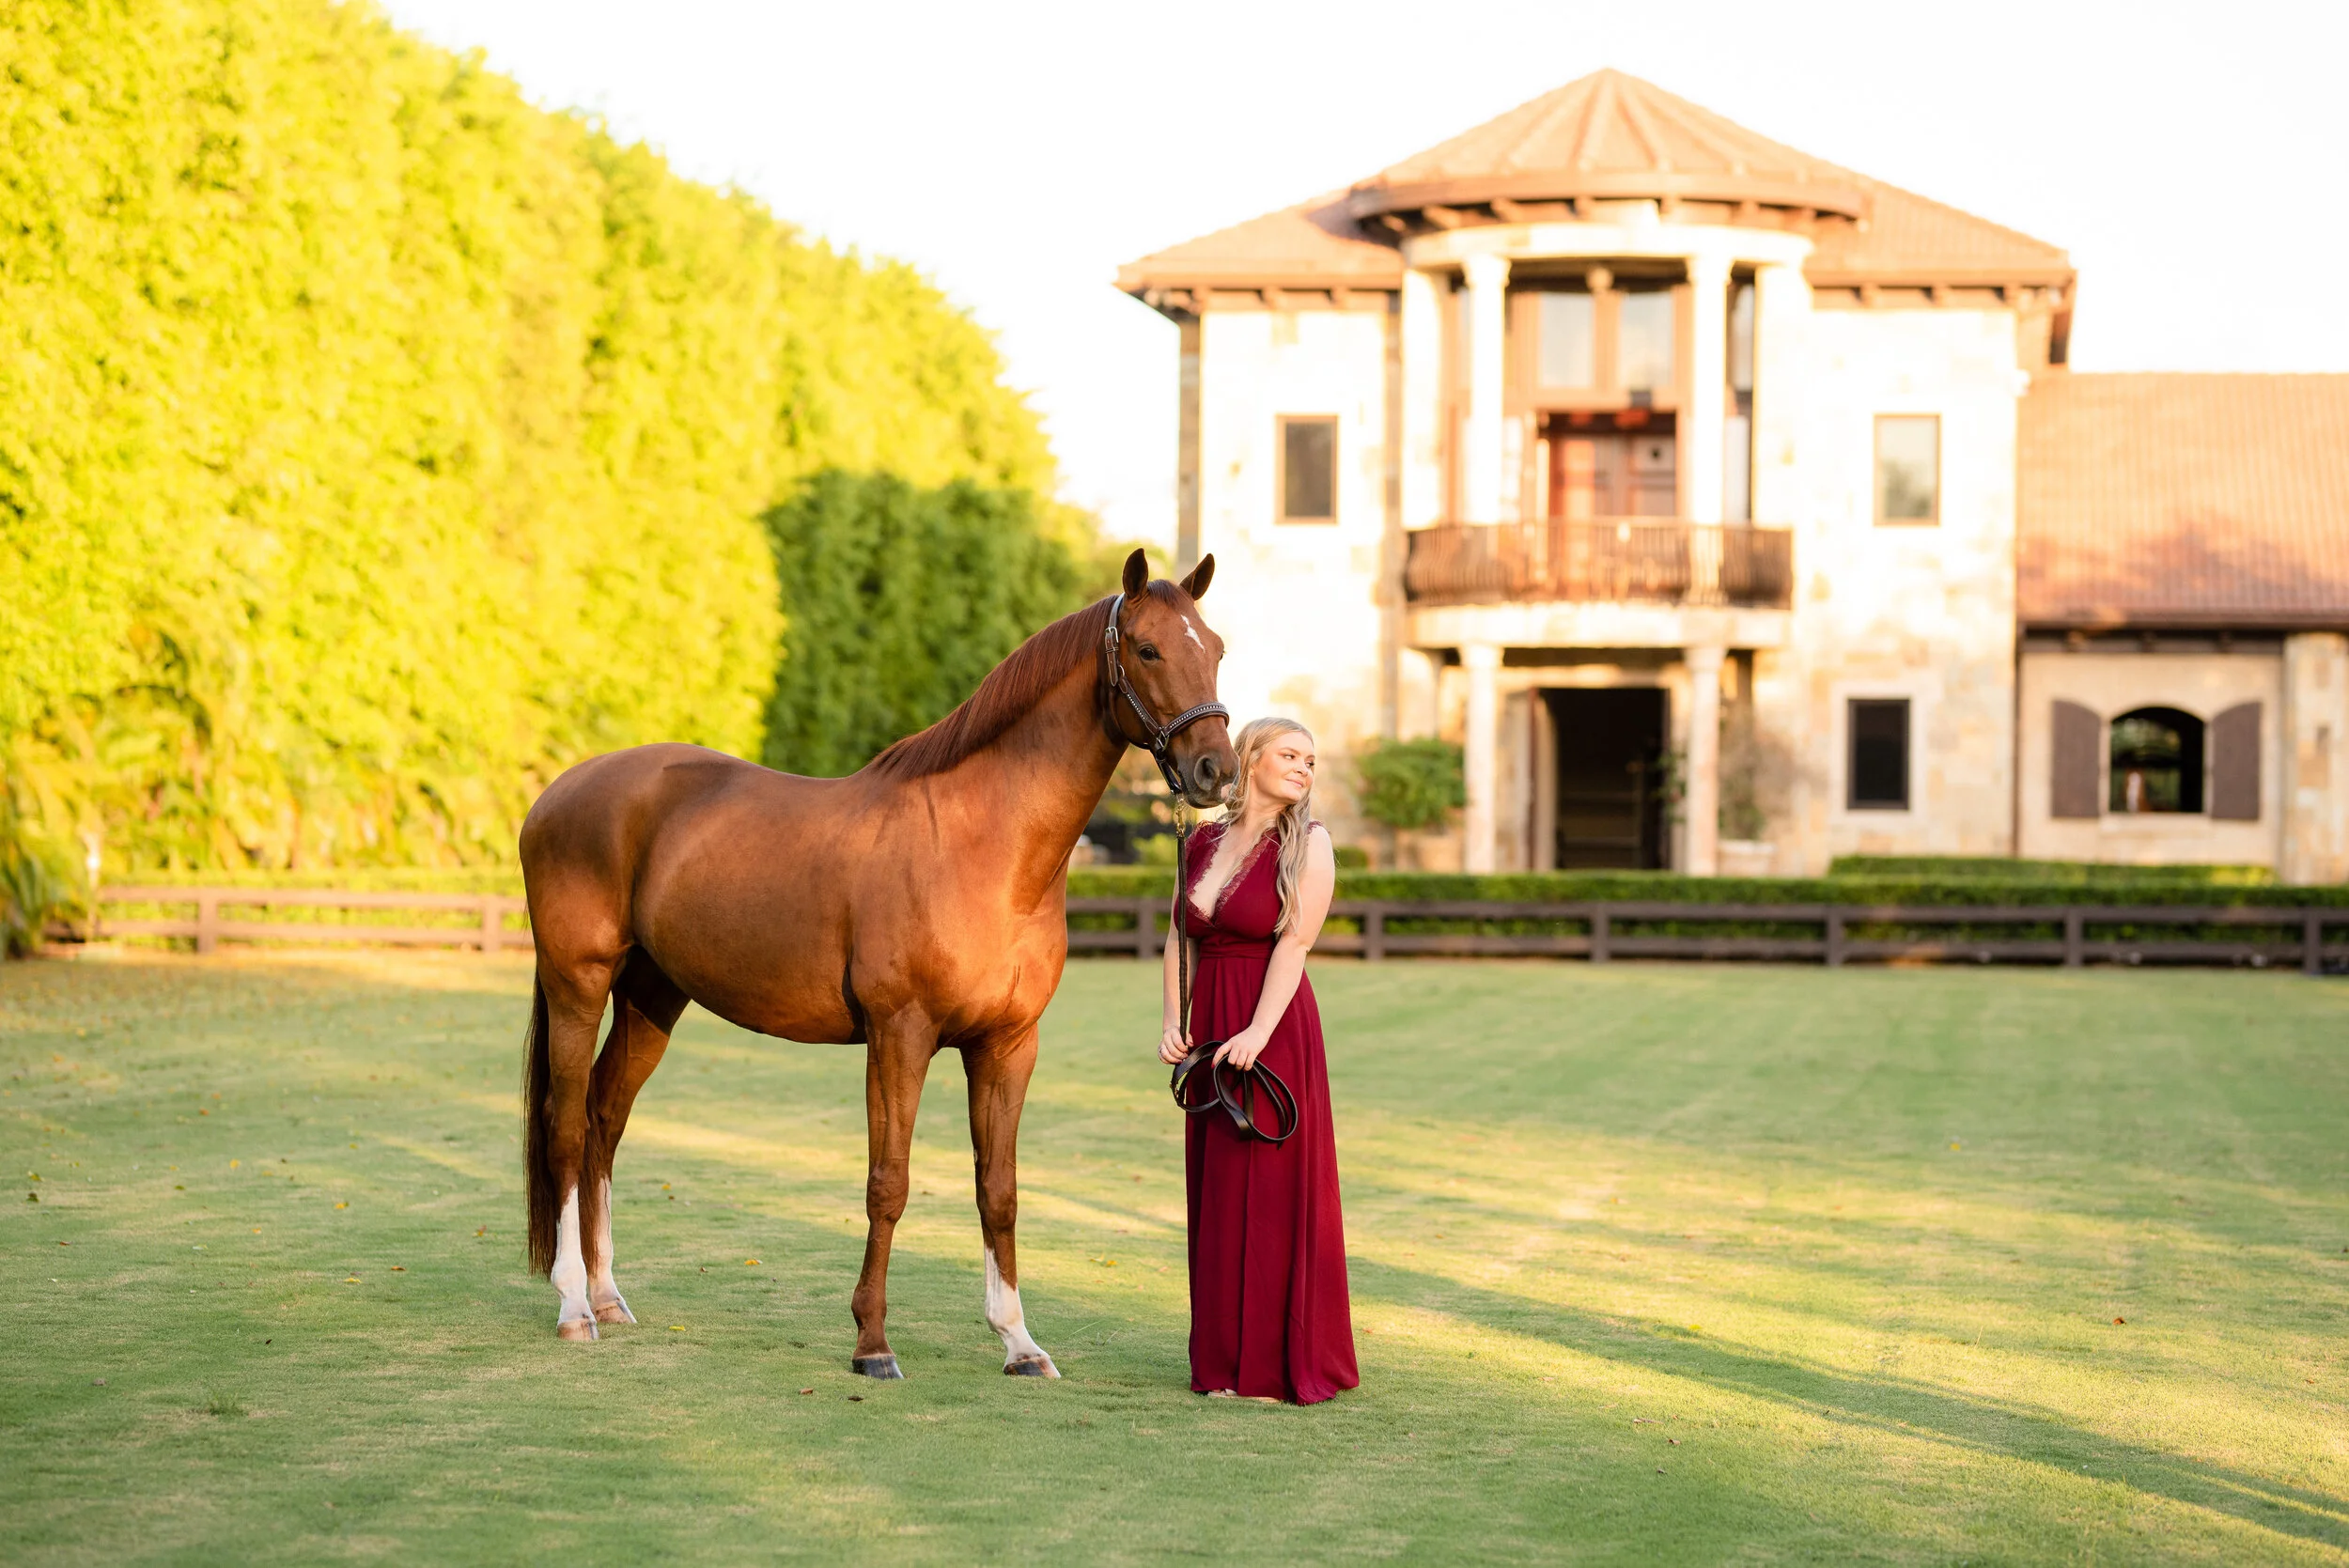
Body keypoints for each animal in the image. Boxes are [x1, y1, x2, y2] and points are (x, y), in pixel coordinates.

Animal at [518, 549, 1232, 1379]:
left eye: (1215, 648)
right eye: (1148, 649)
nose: (1215, 769)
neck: (982, 846)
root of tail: (557, 795)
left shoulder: (1008, 1046)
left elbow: (999, 1188)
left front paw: (1020, 1342)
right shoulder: (900, 1036)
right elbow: (889, 1182)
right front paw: (872, 1343)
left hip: (650, 997)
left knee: (605, 1119)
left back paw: (607, 1297)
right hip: (578, 983)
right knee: (567, 1127)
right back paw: (573, 1307)